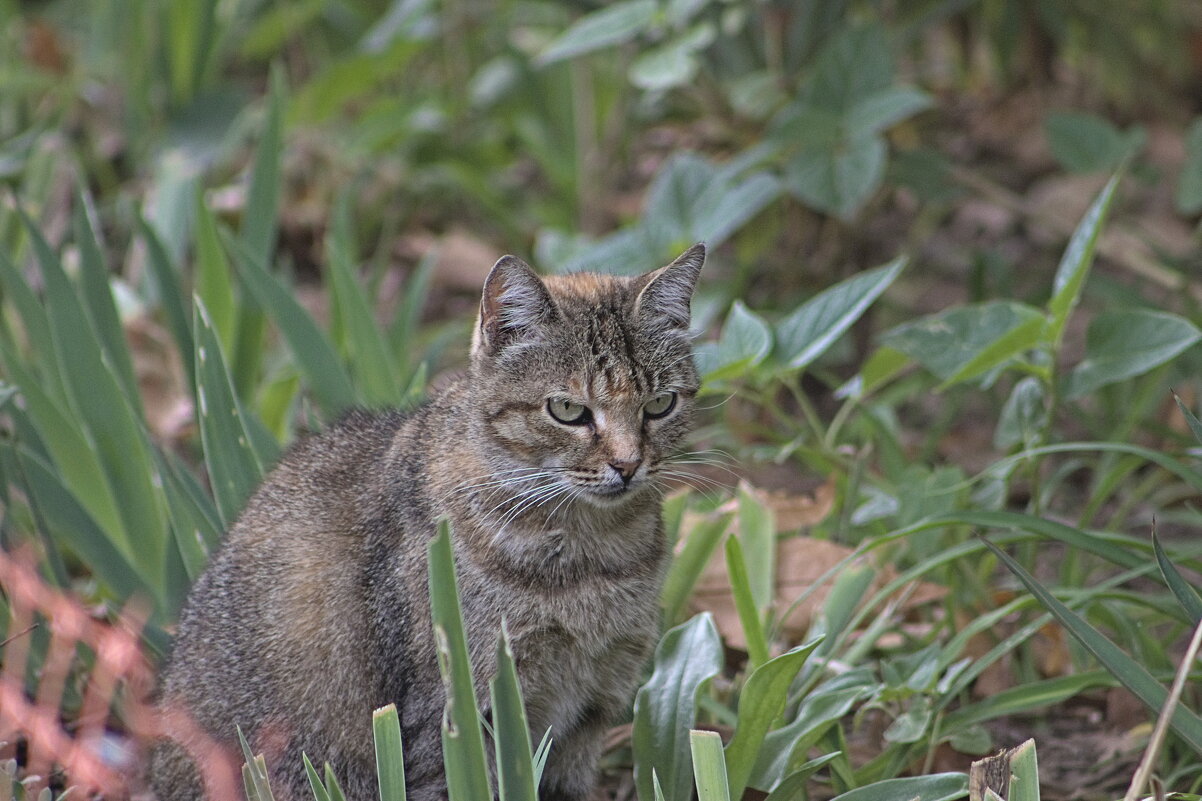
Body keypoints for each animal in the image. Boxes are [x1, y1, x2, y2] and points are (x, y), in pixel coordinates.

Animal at [153, 241, 706, 798]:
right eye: (568, 410)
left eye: (660, 404)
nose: (628, 464)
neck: (591, 556)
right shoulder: (456, 720)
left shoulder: (592, 707)